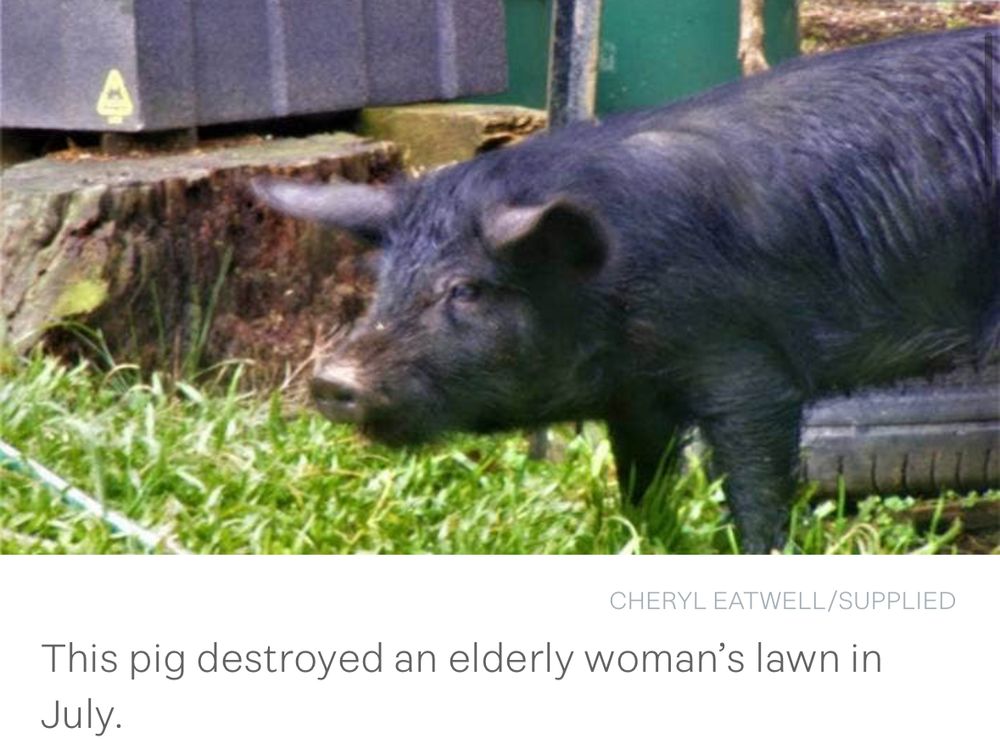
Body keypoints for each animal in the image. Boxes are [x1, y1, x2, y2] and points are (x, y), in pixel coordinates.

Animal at [254, 27, 999, 552]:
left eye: (464, 289)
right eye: (383, 281)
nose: (330, 381)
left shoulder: (747, 367)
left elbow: (756, 486)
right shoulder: (634, 396)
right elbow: (640, 484)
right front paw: (643, 539)